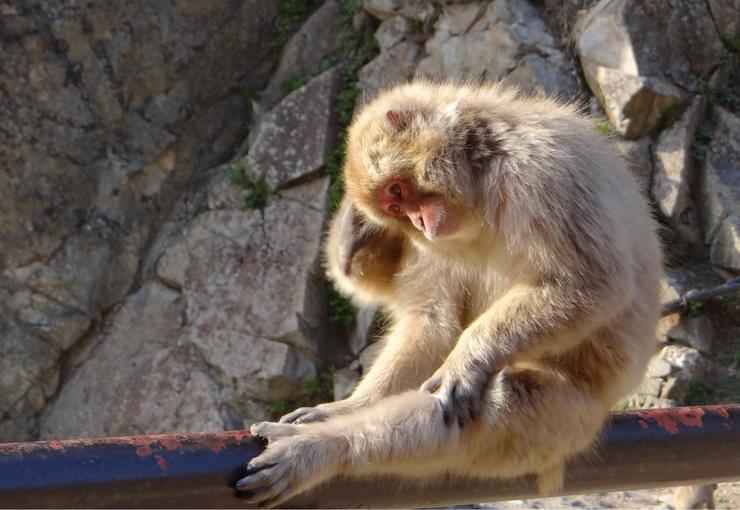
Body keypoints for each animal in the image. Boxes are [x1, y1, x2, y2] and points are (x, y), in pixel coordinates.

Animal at [234, 79, 660, 506]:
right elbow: (433, 322)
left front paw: (470, 358)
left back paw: (318, 449)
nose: (419, 222)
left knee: (491, 400)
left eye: (397, 189)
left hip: (569, 419)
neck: (484, 180)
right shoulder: (433, 241)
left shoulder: (543, 172)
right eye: (395, 207)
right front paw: (353, 404)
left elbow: (588, 282)